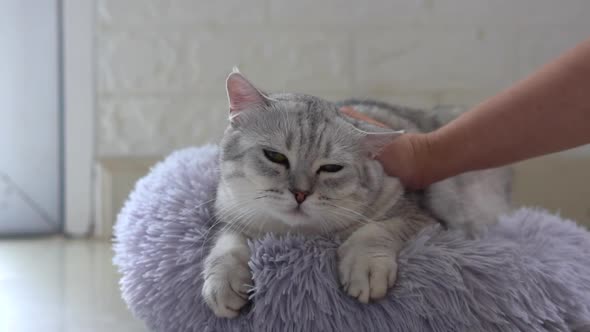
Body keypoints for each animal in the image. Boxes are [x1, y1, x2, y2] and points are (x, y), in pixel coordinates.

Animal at [201, 68, 512, 318]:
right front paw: (223, 282)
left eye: (331, 168)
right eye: (274, 156)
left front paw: (366, 267)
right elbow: (228, 244)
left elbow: (377, 229)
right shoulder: (229, 213)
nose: (300, 193)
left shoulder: (420, 215)